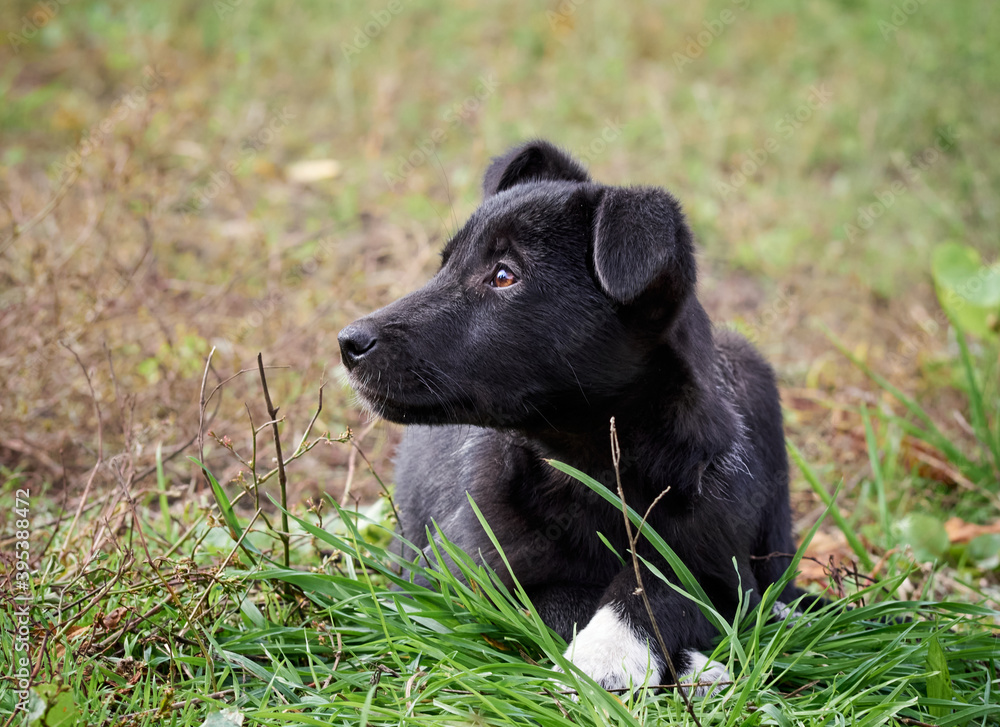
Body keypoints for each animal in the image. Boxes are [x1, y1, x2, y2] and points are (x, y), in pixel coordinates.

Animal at [340, 139, 808, 692]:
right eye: (444, 265)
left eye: (504, 275)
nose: (348, 343)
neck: (594, 469)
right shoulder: (461, 576)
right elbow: (562, 597)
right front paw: (631, 656)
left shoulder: (723, 561)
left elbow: (669, 584)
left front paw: (614, 648)